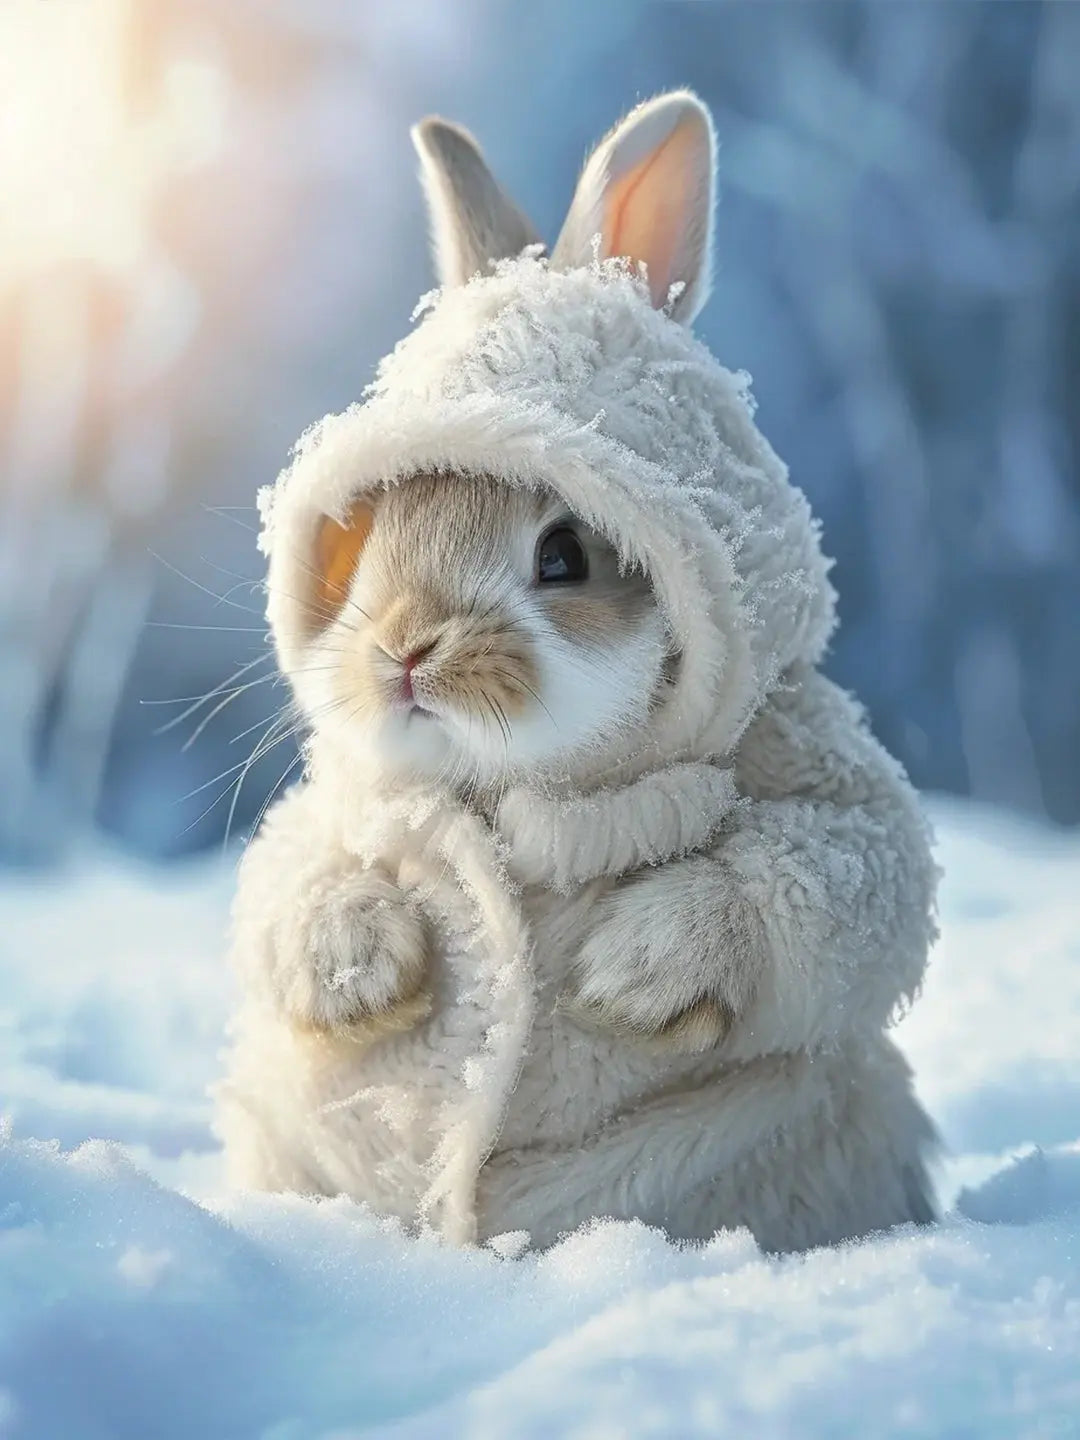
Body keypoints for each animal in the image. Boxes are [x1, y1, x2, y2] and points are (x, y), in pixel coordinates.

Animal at [215, 90, 940, 1252]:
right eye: (374, 539)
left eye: (565, 557)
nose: (405, 649)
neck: (516, 785)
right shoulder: (345, 807)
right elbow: (297, 877)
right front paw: (369, 971)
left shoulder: (812, 760)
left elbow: (854, 871)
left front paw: (631, 976)